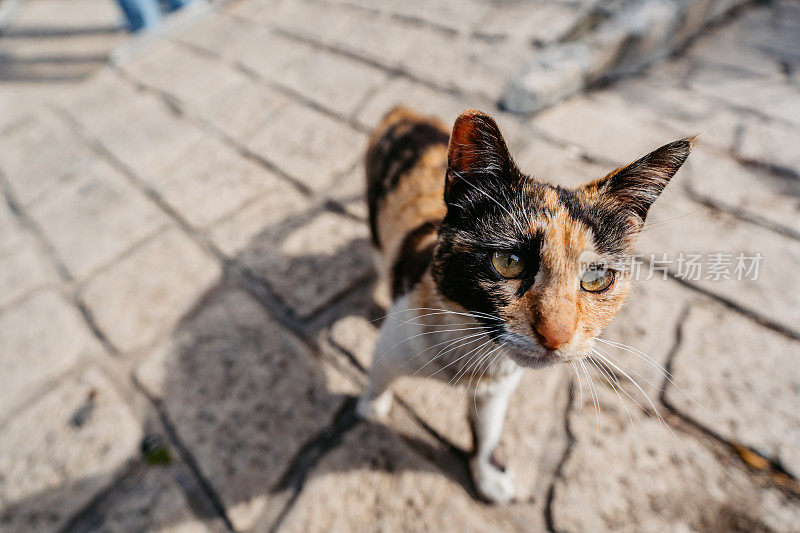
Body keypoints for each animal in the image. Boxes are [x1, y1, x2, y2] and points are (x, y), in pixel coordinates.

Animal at [356, 107, 692, 502]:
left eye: (597, 278)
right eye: (509, 261)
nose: (556, 334)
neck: (471, 349)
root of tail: (405, 111)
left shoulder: (496, 390)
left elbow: (487, 431)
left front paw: (487, 475)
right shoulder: (396, 340)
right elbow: (379, 375)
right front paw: (371, 406)